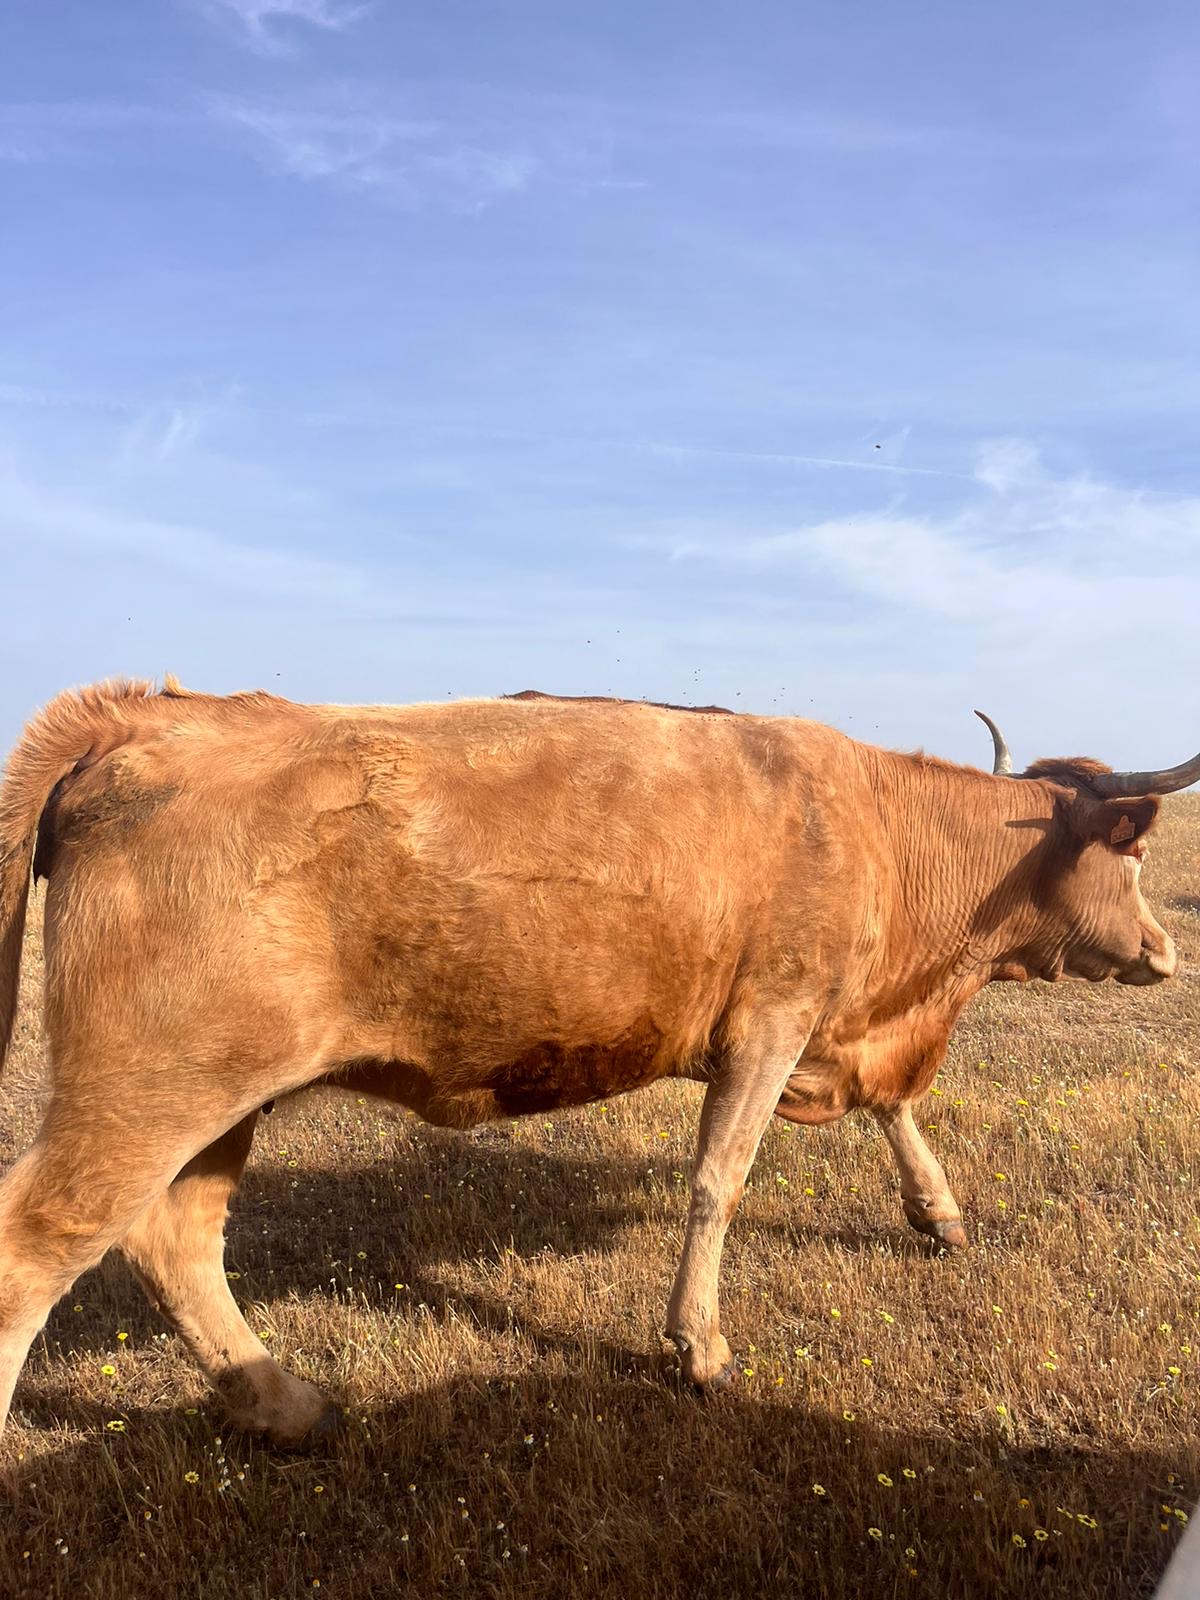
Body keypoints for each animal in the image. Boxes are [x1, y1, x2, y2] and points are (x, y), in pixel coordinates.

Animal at [0, 678, 1195, 1447]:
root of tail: (156, 710)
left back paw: (283, 1406)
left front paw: (938, 1213)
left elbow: (889, 1107)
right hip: (151, 1087)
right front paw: (696, 1346)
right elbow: (718, 1180)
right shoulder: (771, 1017)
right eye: (1133, 850)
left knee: (174, 1237)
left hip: (217, 1098)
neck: (877, 824)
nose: (1165, 949)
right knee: (42, 1244)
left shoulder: (832, 1028)